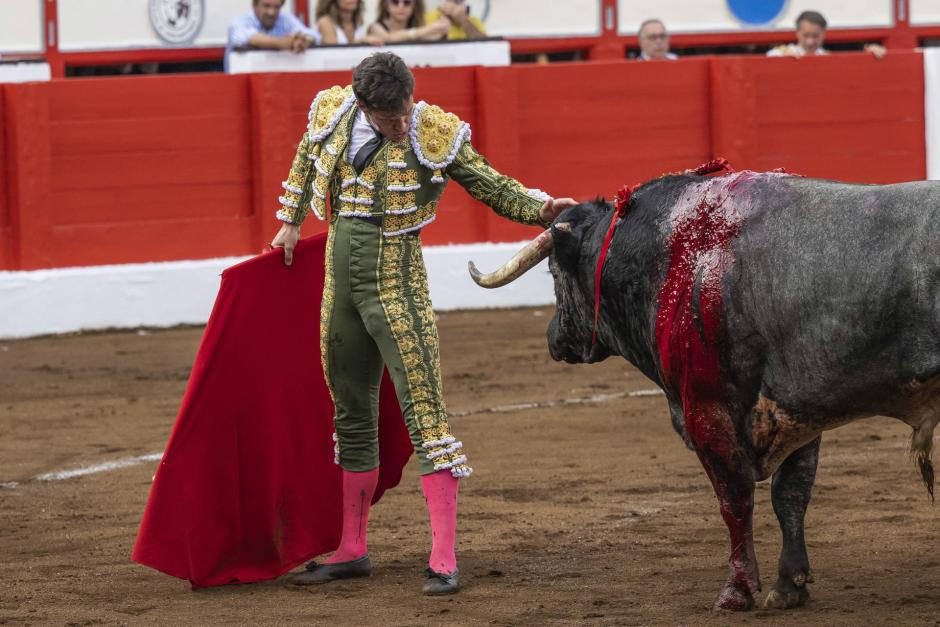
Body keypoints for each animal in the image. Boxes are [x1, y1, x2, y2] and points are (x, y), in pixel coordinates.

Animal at [468, 167, 940, 612]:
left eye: (554, 272)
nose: (553, 338)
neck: (671, 256)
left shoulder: (707, 411)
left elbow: (735, 500)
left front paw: (737, 592)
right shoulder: (801, 410)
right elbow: (790, 495)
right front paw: (789, 586)